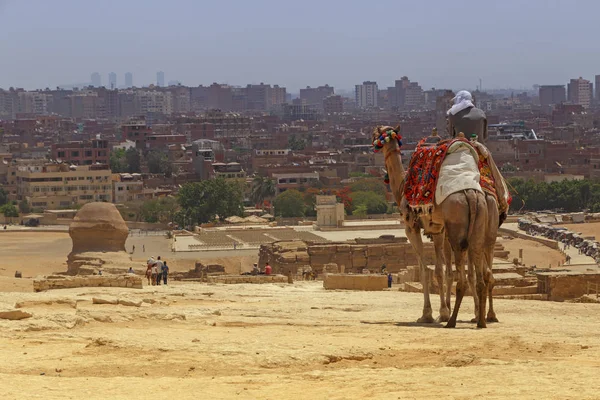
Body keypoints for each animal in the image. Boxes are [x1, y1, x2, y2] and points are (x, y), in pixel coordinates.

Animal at [376, 125, 492, 328]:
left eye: (379, 133)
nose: (374, 140)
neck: (402, 187)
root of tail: (471, 194)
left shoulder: (411, 227)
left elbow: (425, 270)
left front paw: (427, 314)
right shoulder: (437, 229)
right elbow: (440, 271)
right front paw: (442, 312)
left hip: (457, 231)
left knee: (464, 275)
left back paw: (455, 321)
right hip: (479, 224)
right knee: (480, 273)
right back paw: (480, 320)